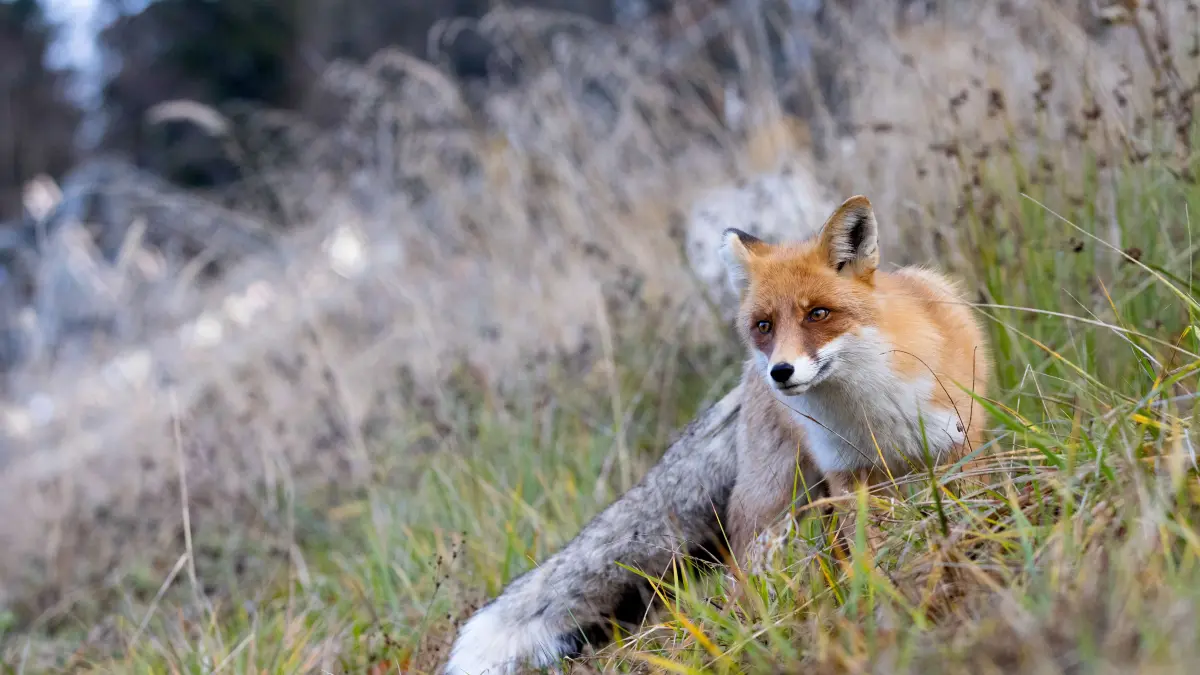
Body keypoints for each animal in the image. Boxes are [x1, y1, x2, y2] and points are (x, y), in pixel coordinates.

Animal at [442, 196, 990, 675]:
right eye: (764, 325)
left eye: (818, 314)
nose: (781, 373)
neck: (870, 411)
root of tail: (745, 384)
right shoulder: (850, 475)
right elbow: (870, 551)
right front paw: (881, 594)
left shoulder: (957, 447)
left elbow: (966, 509)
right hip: (773, 503)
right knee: (746, 569)